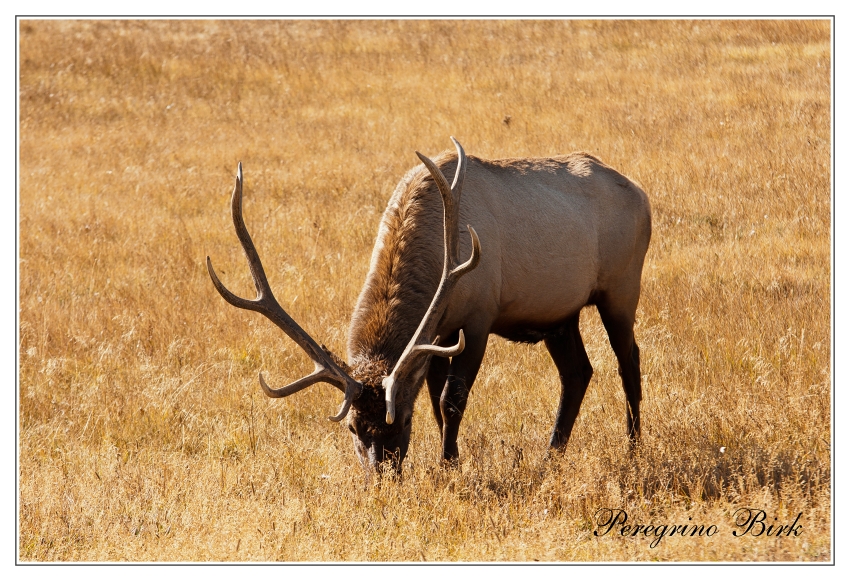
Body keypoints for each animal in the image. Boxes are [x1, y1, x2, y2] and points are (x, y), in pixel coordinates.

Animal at [205, 138, 648, 474]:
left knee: (629, 360)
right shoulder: (441, 330)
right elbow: (436, 401)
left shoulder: (478, 318)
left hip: (622, 287)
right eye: (352, 429)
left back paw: (634, 448)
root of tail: (641, 193)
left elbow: (452, 399)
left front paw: (448, 466)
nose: (381, 478)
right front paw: (448, 461)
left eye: (400, 419)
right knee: (578, 372)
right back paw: (550, 457)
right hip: (561, 313)